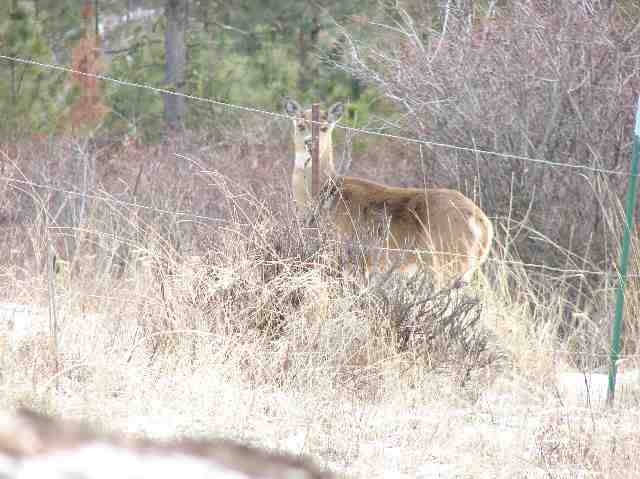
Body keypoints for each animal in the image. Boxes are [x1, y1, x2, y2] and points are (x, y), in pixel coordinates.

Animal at [283, 98, 494, 287]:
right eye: (300, 125)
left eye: (324, 127)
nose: (310, 143)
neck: (327, 193)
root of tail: (483, 223)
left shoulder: (348, 251)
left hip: (448, 259)